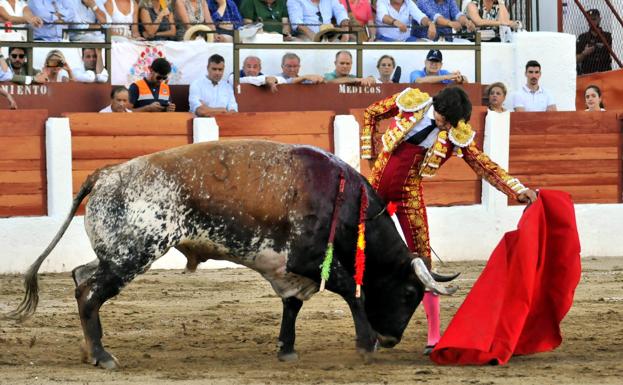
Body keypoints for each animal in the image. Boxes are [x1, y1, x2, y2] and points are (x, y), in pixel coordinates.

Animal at [7, 140, 456, 368]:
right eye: (410, 294)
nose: (392, 338)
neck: (344, 200)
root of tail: (105, 173)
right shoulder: (306, 259)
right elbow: (349, 289)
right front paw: (366, 343)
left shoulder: (287, 268)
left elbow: (293, 304)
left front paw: (286, 348)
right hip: (133, 255)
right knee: (90, 293)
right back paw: (102, 356)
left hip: (115, 255)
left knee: (82, 276)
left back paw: (90, 350)